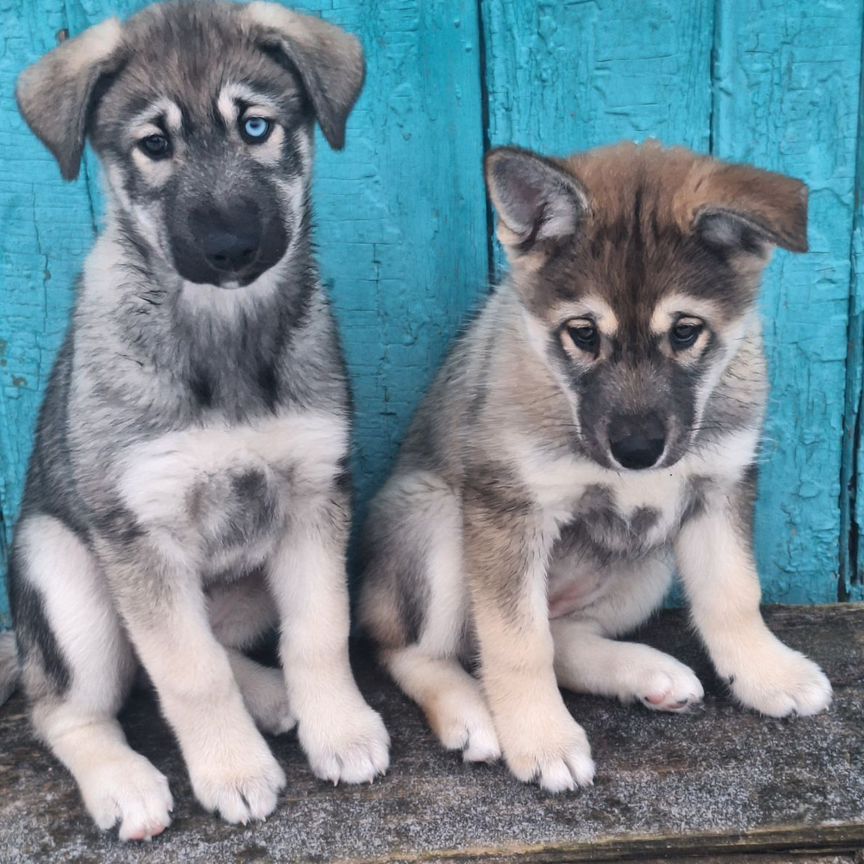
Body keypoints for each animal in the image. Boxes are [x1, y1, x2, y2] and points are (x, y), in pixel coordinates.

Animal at [2, 1, 388, 844]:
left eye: (256, 127)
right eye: (155, 145)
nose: (230, 248)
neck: (225, 336)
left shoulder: (315, 496)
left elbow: (319, 631)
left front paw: (339, 729)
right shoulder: (140, 532)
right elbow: (189, 670)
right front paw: (233, 771)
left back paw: (271, 696)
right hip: (63, 574)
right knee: (67, 707)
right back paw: (123, 781)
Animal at [358, 142, 832, 788]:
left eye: (686, 332)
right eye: (582, 334)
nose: (637, 453)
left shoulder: (718, 489)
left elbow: (734, 595)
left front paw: (767, 673)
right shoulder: (508, 510)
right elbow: (517, 641)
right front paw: (541, 737)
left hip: (648, 562)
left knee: (562, 635)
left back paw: (646, 673)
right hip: (436, 520)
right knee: (414, 650)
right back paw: (474, 715)